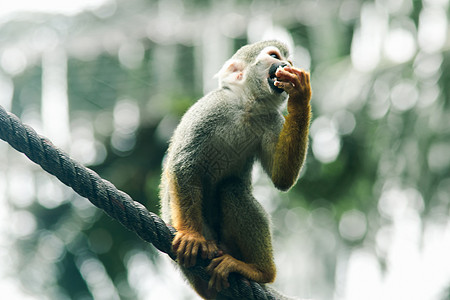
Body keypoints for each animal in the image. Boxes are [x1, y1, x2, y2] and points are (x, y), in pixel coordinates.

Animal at [161, 40, 312, 300]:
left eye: (289, 61)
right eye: (275, 56)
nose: (286, 64)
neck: (246, 107)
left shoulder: (271, 119)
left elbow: (282, 178)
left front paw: (300, 95)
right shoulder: (212, 107)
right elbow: (183, 164)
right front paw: (191, 235)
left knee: (232, 188)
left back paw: (259, 271)